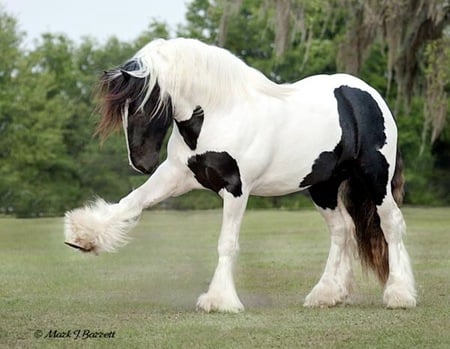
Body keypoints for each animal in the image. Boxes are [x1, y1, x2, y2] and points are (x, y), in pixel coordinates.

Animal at [64, 36, 418, 312]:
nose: (140, 163)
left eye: (143, 104)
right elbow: (131, 202)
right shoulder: (175, 175)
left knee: (391, 224)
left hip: (376, 178)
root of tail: (368, 95)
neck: (219, 112)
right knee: (343, 229)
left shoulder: (235, 189)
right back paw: (327, 294)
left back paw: (399, 294)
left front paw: (219, 300)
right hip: (323, 186)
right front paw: (84, 236)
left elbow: (227, 243)